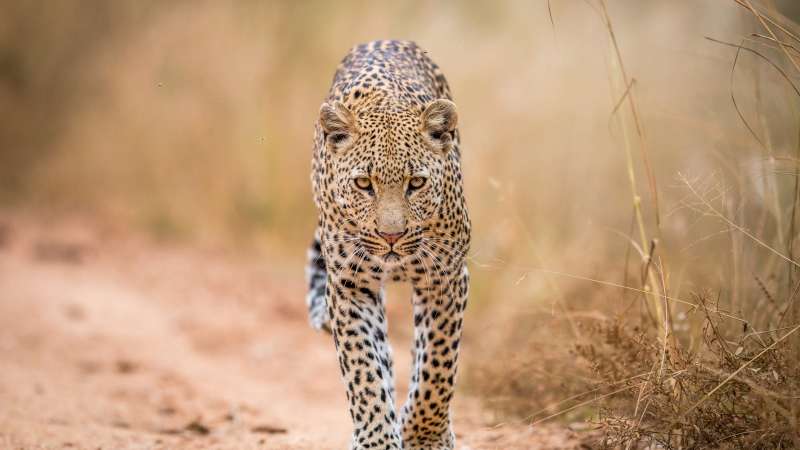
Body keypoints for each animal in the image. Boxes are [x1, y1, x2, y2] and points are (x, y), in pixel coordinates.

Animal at [305, 40, 470, 450]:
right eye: (364, 184)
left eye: (416, 183)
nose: (391, 235)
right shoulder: (349, 286)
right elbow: (363, 369)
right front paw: (378, 438)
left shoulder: (445, 279)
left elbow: (437, 367)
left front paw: (425, 437)